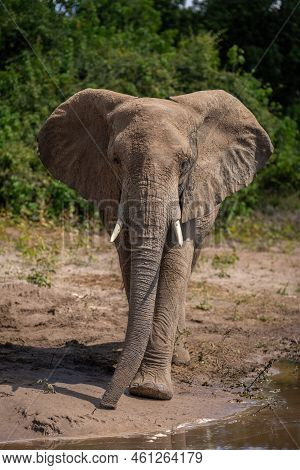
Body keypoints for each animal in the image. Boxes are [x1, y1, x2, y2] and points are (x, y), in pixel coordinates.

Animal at [36, 87, 274, 408]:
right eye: (115, 159)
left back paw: (179, 357)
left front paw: (151, 390)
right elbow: (129, 258)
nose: (105, 404)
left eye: (185, 163)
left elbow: (176, 262)